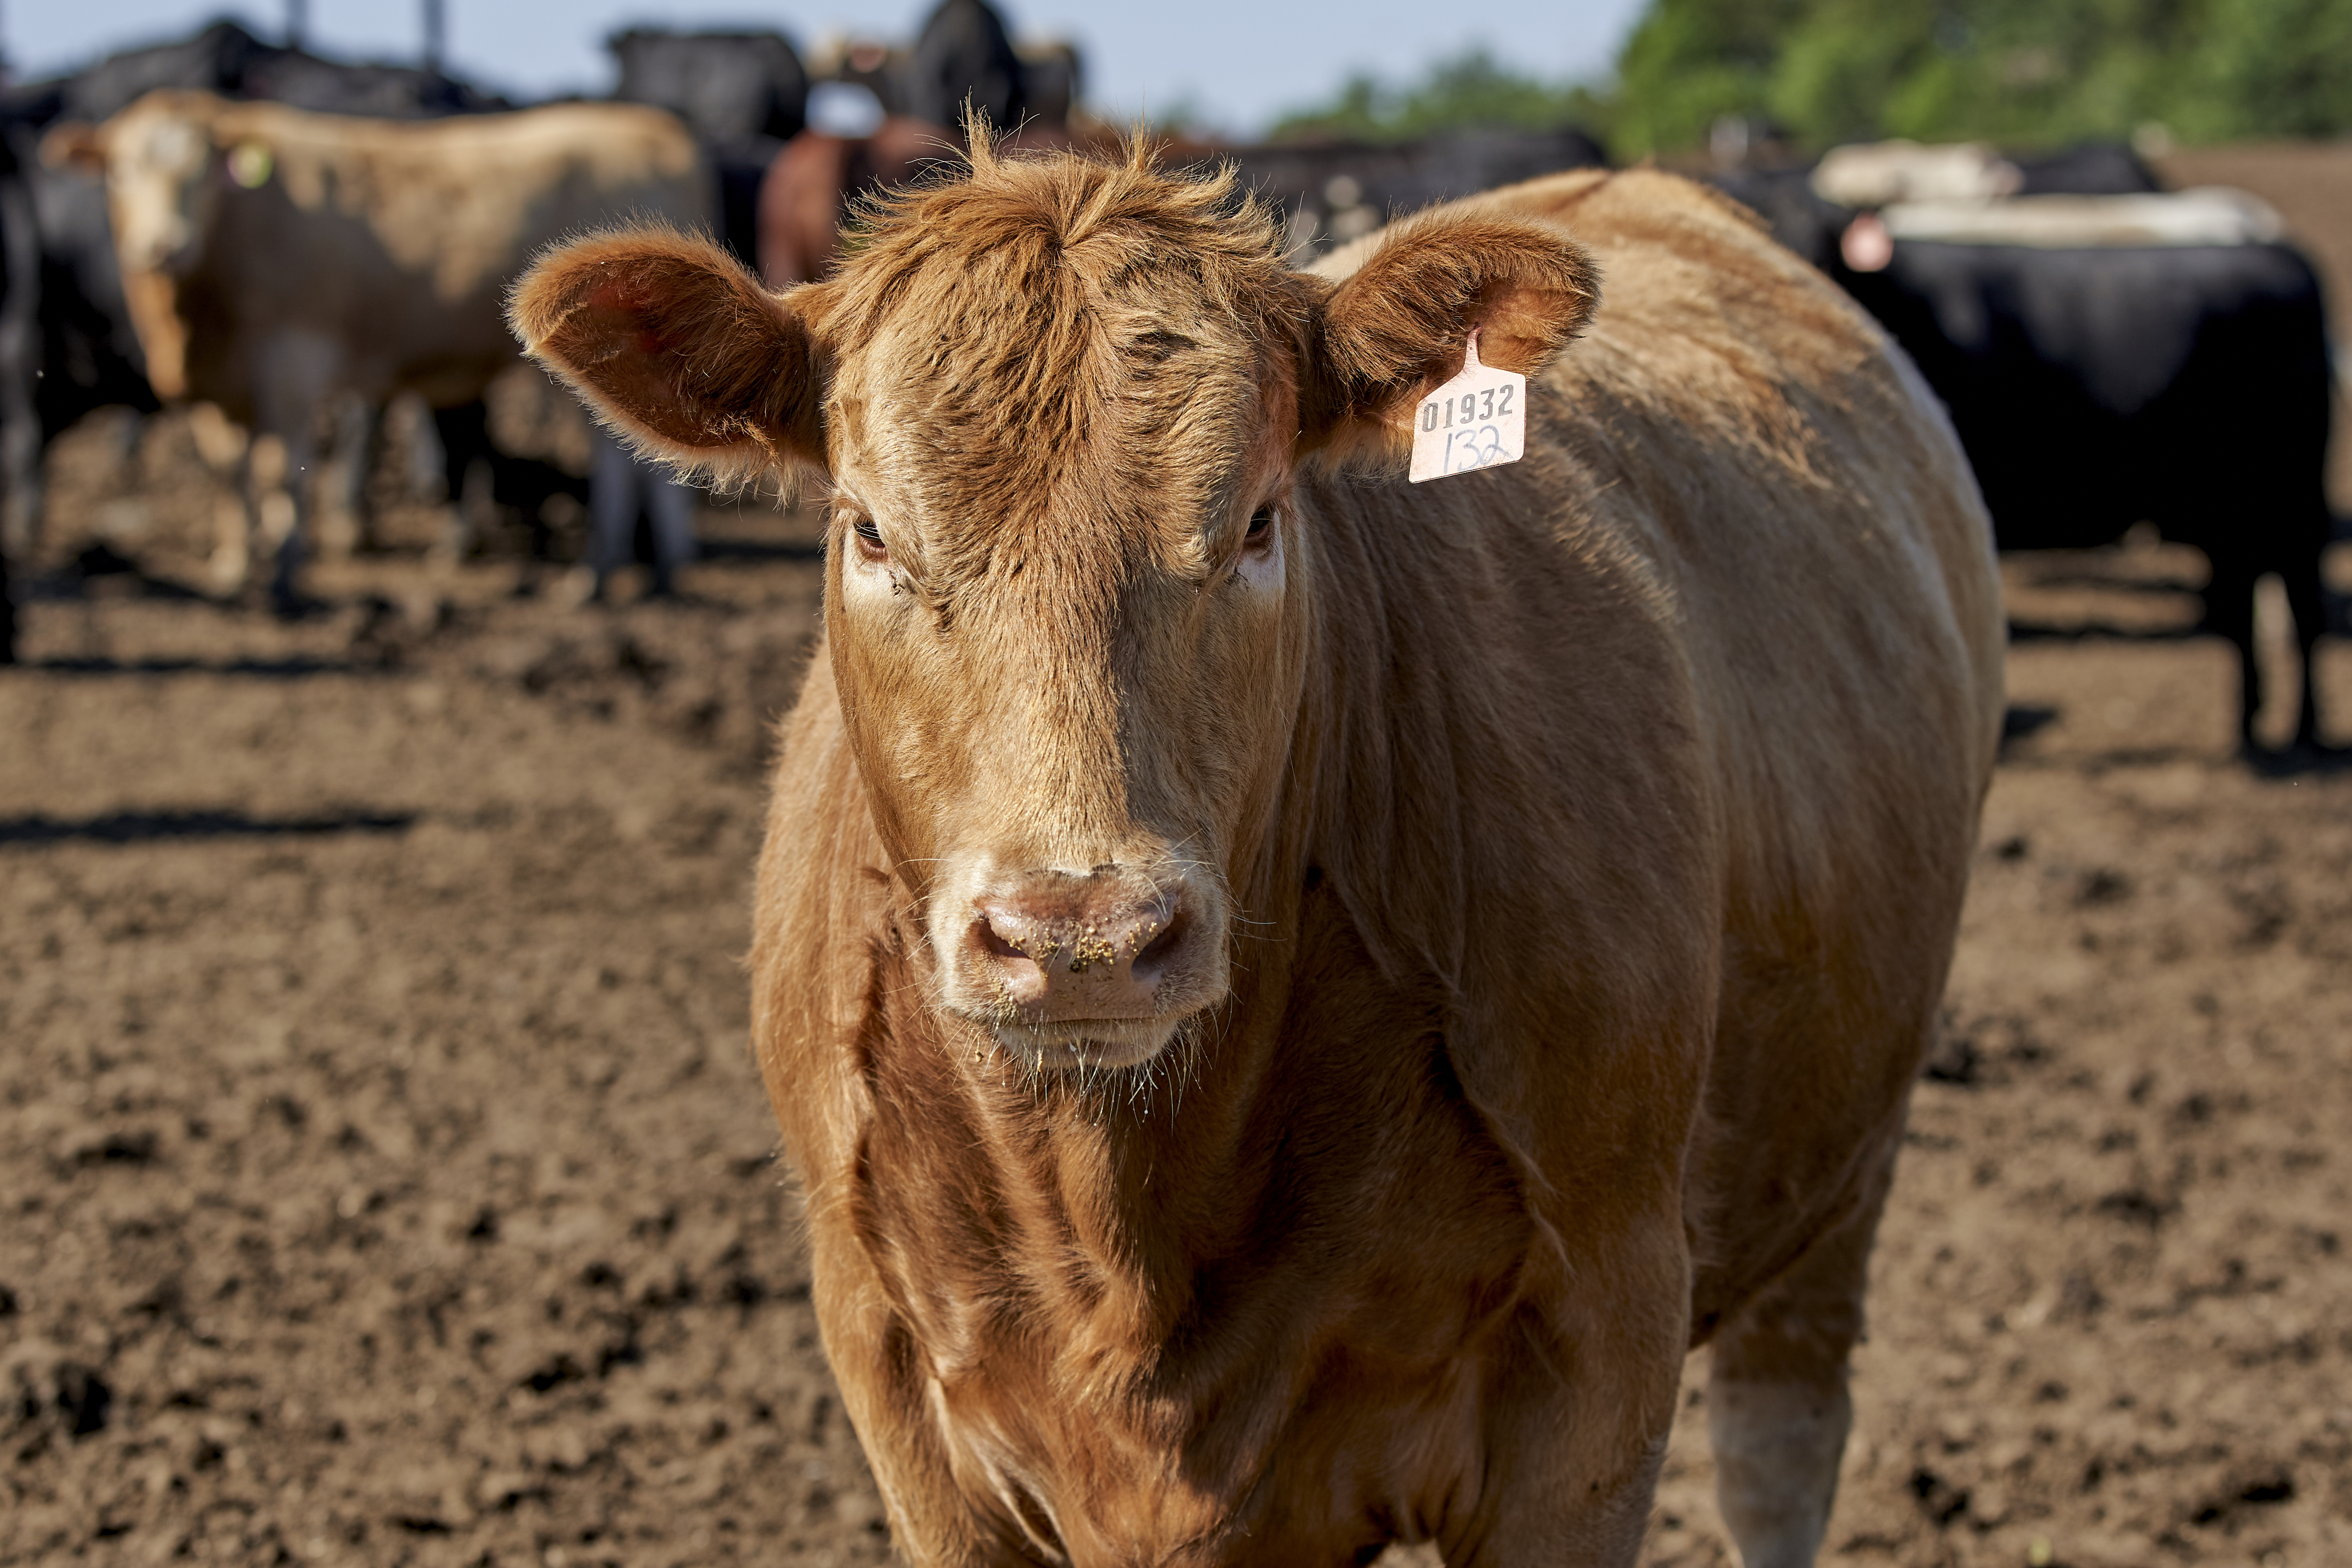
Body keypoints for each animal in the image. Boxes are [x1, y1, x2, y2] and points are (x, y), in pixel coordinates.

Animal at [47, 90, 709, 608]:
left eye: (205, 174)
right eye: (119, 172)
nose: (162, 247)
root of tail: (654, 130)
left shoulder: (292, 363)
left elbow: (283, 470)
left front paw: (286, 574)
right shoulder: (218, 389)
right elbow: (230, 473)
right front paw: (234, 567)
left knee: (615, 467)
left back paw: (594, 576)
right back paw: (662, 571)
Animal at [512, 144, 2004, 1567]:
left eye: (1257, 522)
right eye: (871, 529)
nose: (1082, 939)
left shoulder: (1600, 1351)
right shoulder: (895, 1374)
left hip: (1843, 1167)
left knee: (1782, 1436)